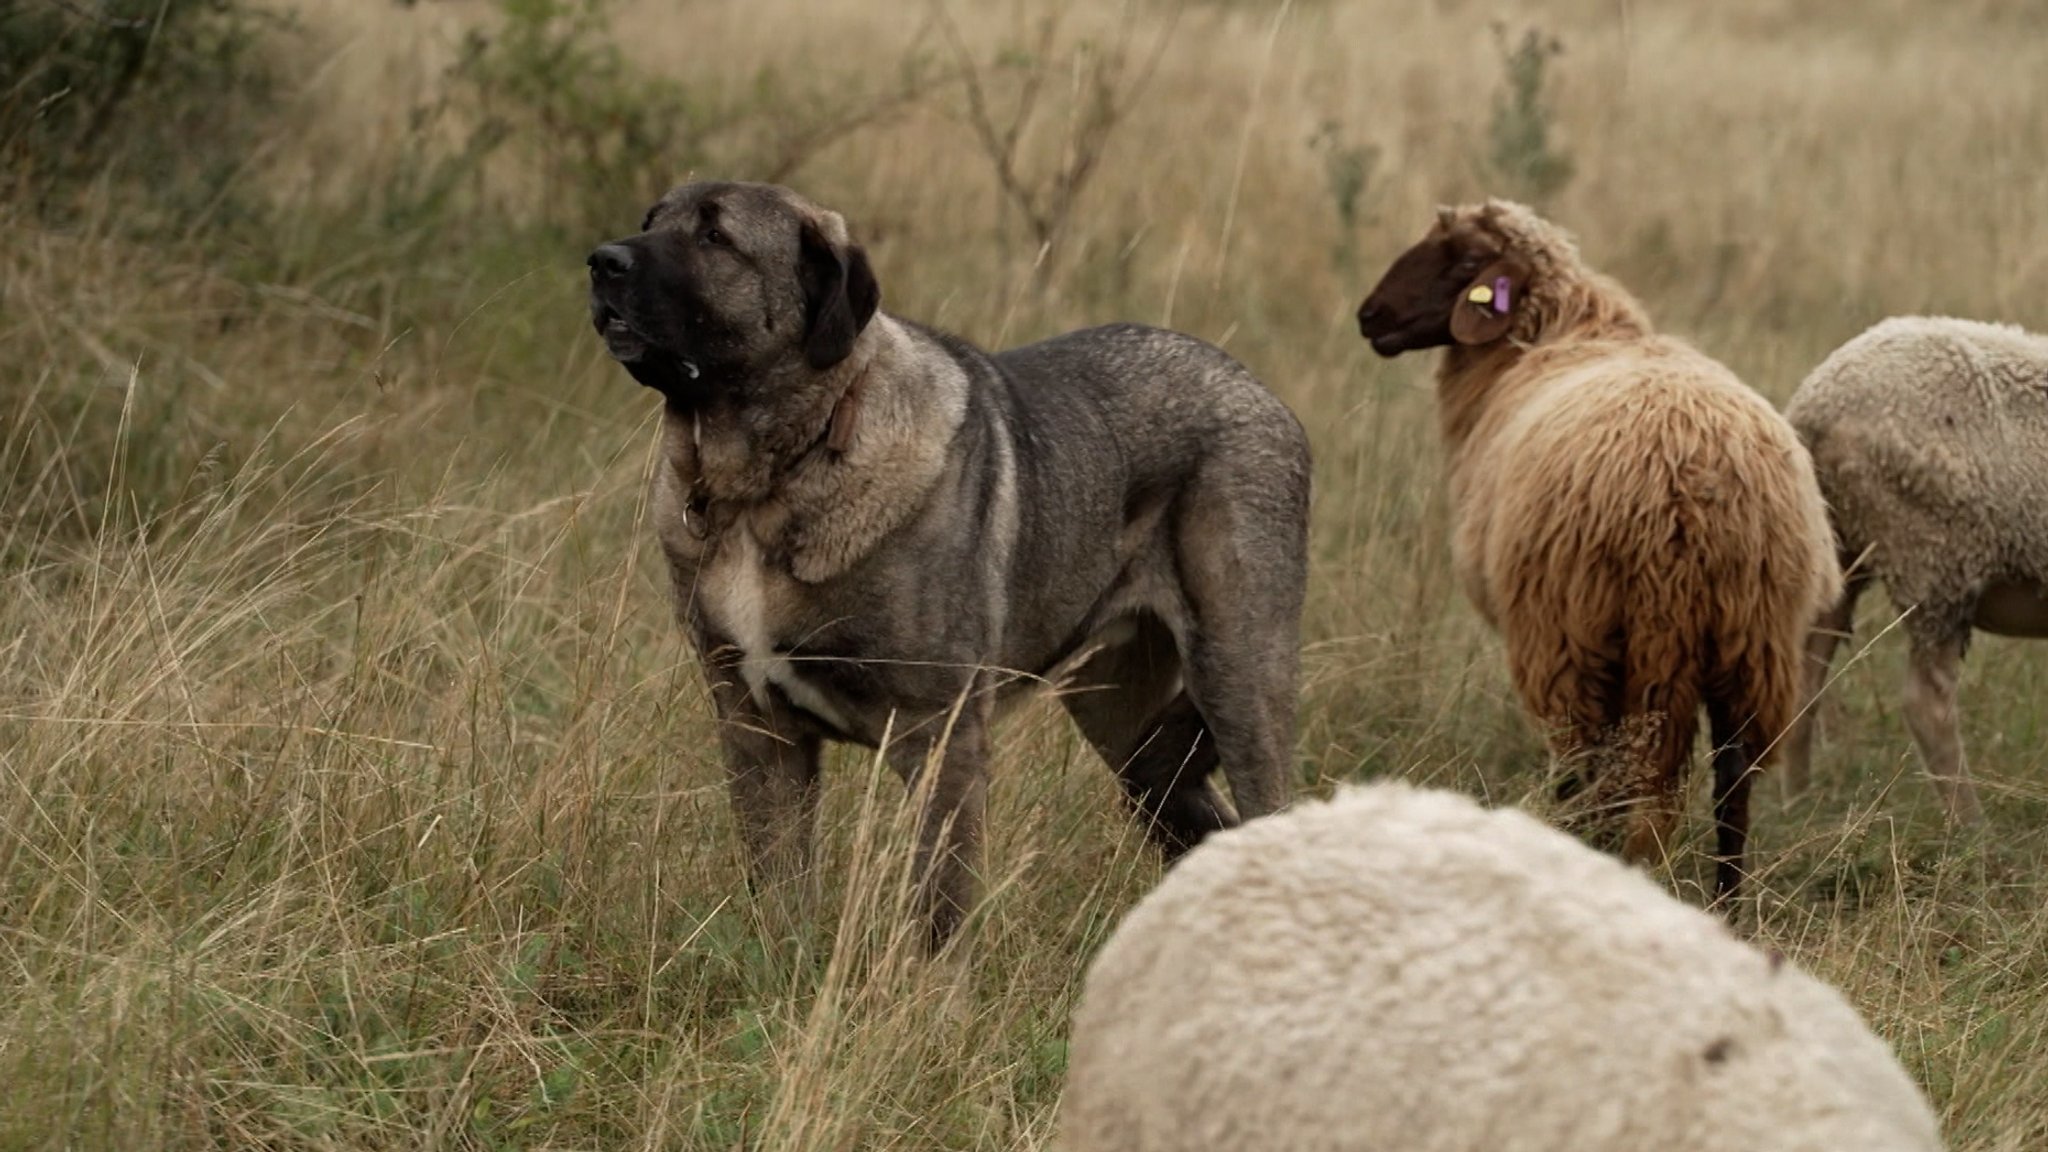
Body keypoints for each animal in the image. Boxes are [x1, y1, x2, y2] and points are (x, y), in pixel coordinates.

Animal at [589, 183, 1310, 947]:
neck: (767, 485)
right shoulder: (758, 730)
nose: (601, 261)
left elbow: (938, 909)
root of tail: (1257, 390)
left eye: (715, 237)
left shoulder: (940, 737)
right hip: (1123, 718)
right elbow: (779, 890)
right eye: (650, 222)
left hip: (1238, 678)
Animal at [1359, 199, 1843, 897]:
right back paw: (1727, 900)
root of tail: (1691, 492)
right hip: (1754, 641)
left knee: (1598, 771)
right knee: (1733, 783)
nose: (1370, 316)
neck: (1554, 338)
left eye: (1468, 259)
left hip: (1580, 634)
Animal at [1777, 313, 2048, 819]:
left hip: (1838, 551)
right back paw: (1970, 824)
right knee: (1926, 705)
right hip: (1934, 559)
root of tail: (1814, 404)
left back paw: (1800, 807)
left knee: (1805, 682)